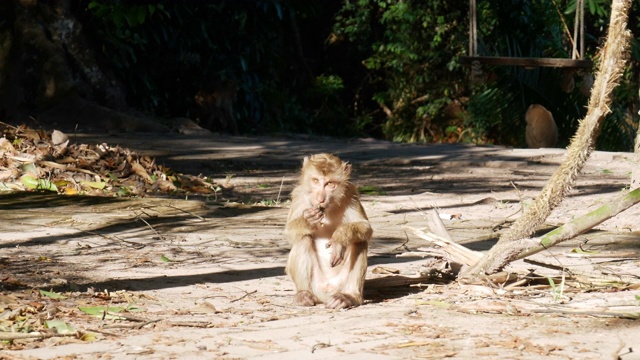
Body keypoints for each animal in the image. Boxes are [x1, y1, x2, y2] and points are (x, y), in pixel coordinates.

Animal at [284, 153, 372, 308]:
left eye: (330, 184)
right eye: (315, 181)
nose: (320, 199)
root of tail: (326, 292)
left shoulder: (351, 194)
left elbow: (365, 228)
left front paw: (339, 238)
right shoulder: (299, 195)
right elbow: (289, 231)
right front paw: (308, 220)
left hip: (340, 284)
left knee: (359, 241)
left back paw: (349, 296)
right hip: (316, 286)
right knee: (303, 237)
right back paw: (303, 294)